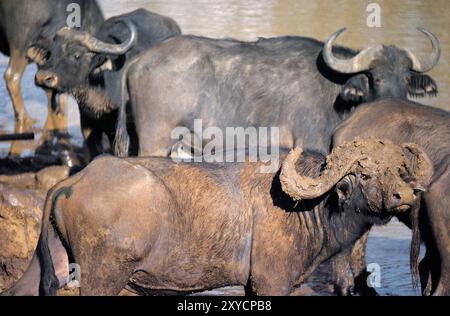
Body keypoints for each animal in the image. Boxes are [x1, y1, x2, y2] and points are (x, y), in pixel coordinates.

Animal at [2, 139, 432, 296]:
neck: (308, 207)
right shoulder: (272, 284)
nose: (404, 197)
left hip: (51, 264)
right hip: (103, 279)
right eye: (364, 173)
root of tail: (75, 180)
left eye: (397, 168)